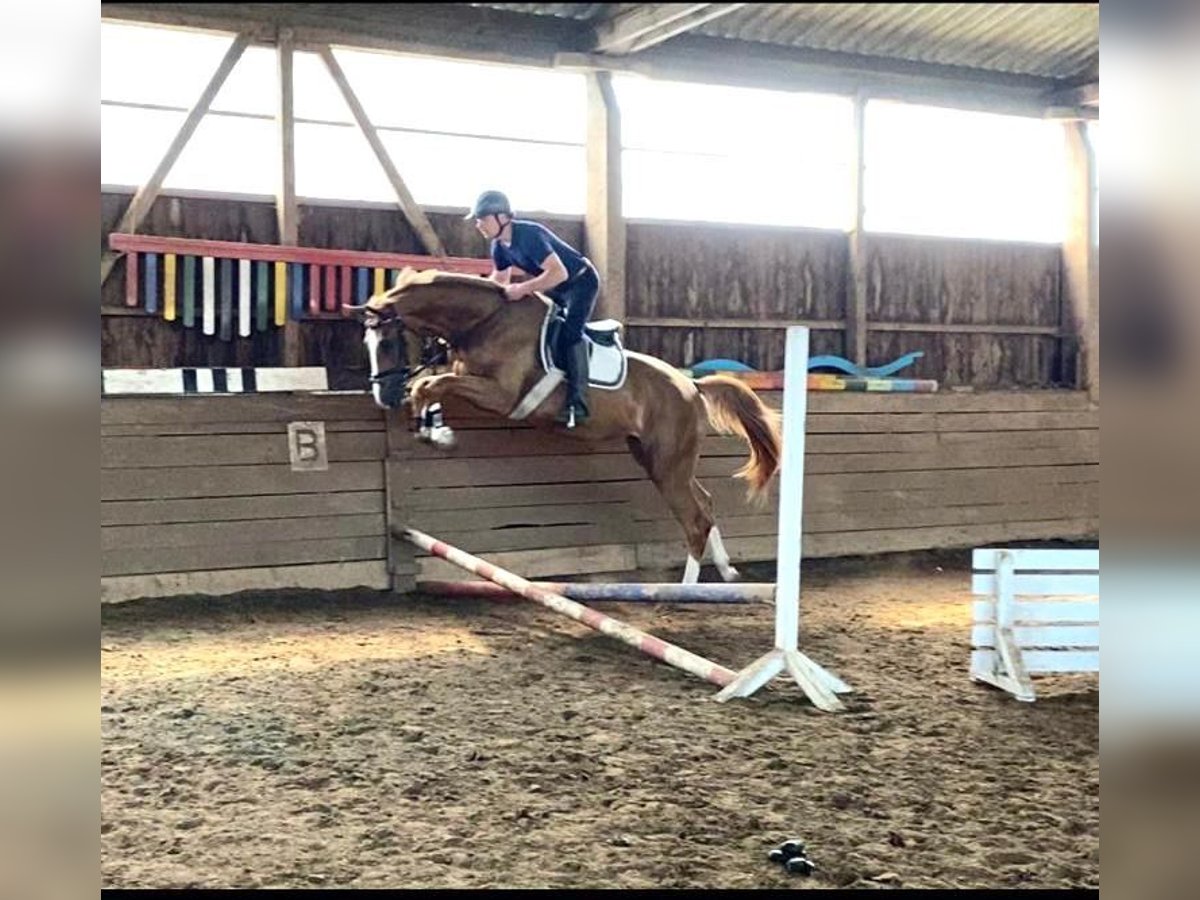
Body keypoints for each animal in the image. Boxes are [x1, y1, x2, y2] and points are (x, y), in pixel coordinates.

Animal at [352, 267, 787, 585]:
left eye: (387, 343)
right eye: (367, 345)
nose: (383, 397)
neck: (485, 322)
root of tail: (691, 386)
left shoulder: (503, 397)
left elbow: (430, 383)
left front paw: (434, 430)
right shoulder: (464, 373)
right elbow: (432, 382)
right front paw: (432, 426)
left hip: (667, 465)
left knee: (695, 521)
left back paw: (685, 591)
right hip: (660, 460)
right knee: (706, 506)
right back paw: (727, 571)